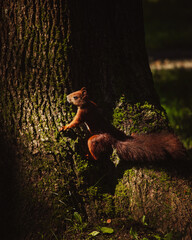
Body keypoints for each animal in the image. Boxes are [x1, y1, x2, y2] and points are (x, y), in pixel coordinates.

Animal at [59, 87, 187, 162]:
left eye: (75, 97)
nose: (67, 97)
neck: (86, 103)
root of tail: (112, 140)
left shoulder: (82, 113)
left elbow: (75, 122)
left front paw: (64, 127)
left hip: (96, 140)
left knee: (95, 153)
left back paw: (89, 156)